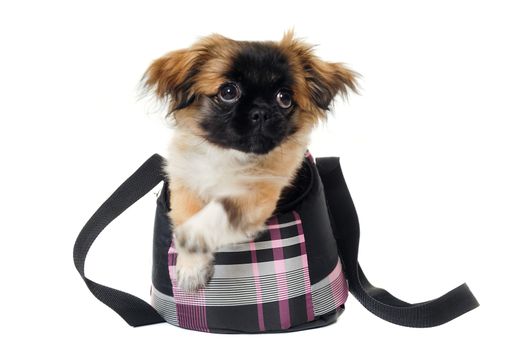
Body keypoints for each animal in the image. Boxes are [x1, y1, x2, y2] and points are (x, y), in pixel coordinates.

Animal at [144, 31, 358, 292]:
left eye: (284, 98)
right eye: (228, 92)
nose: (262, 112)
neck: (229, 155)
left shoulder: (257, 194)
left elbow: (220, 210)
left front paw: (193, 234)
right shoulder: (185, 187)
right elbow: (187, 214)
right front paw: (191, 268)